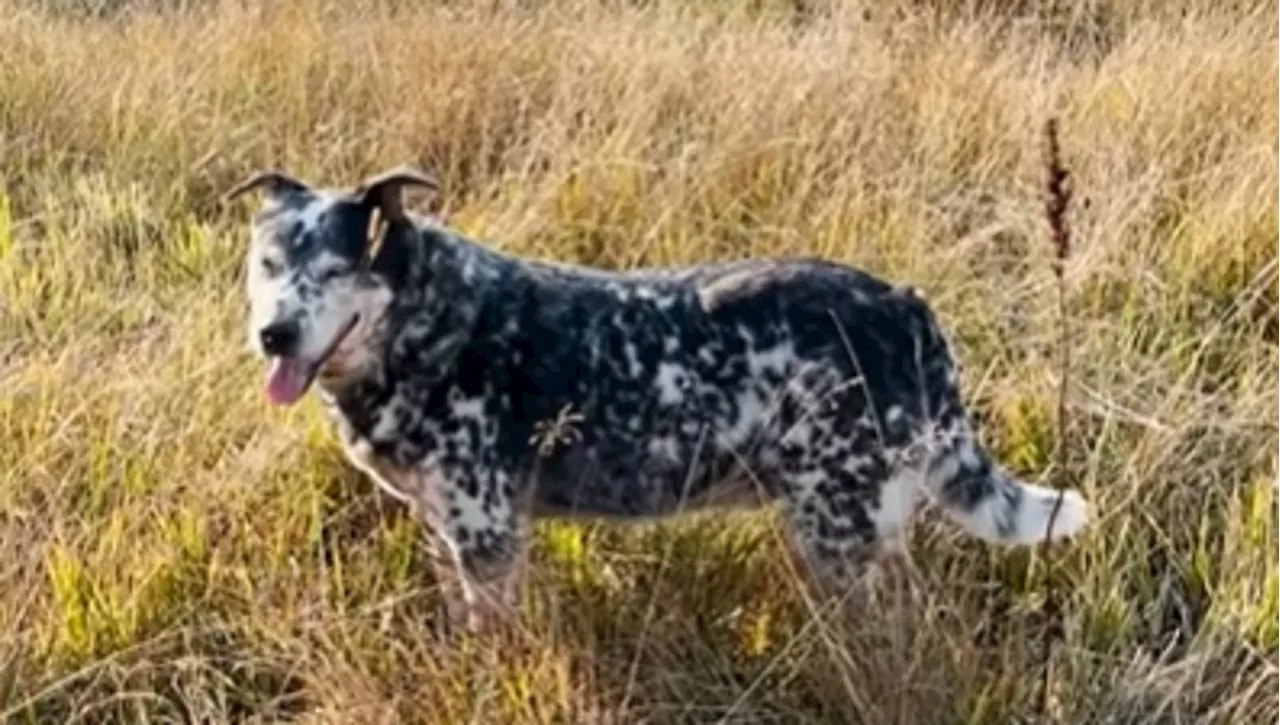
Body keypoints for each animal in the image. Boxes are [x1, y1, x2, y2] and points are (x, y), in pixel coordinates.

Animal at [225, 167, 1085, 632]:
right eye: (267, 264)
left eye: (334, 271)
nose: (274, 332)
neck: (427, 321)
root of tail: (902, 304)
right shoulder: (446, 529)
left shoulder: (489, 535)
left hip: (840, 529)